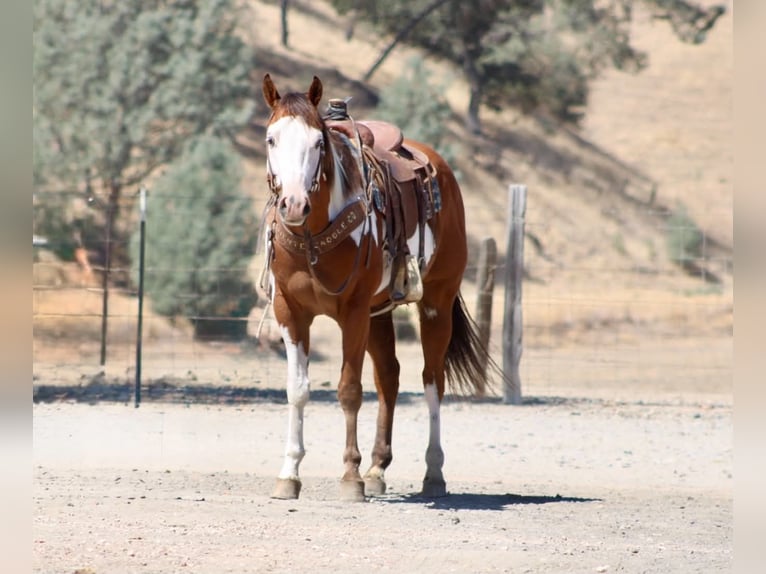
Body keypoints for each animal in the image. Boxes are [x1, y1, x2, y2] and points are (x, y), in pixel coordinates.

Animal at [260, 74, 492, 502]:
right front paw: (289, 474)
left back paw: (433, 473)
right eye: (271, 139)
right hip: (379, 313)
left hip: (435, 304)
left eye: (318, 142)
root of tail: (440, 167)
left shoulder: (352, 311)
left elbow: (349, 389)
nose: (294, 205)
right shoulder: (290, 312)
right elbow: (297, 390)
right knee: (390, 377)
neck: (313, 236)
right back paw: (377, 468)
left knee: (432, 380)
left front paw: (349, 477)